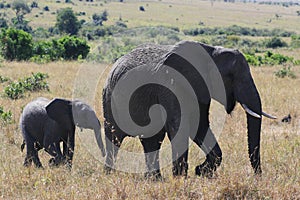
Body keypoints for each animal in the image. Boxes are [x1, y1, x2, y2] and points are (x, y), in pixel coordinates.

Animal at [102, 40, 276, 178]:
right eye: (232, 76)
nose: (257, 176)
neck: (210, 53)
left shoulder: (201, 90)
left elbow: (199, 126)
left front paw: (200, 172)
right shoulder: (171, 85)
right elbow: (178, 126)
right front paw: (181, 178)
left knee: (152, 141)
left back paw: (154, 179)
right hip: (109, 99)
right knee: (114, 138)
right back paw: (109, 175)